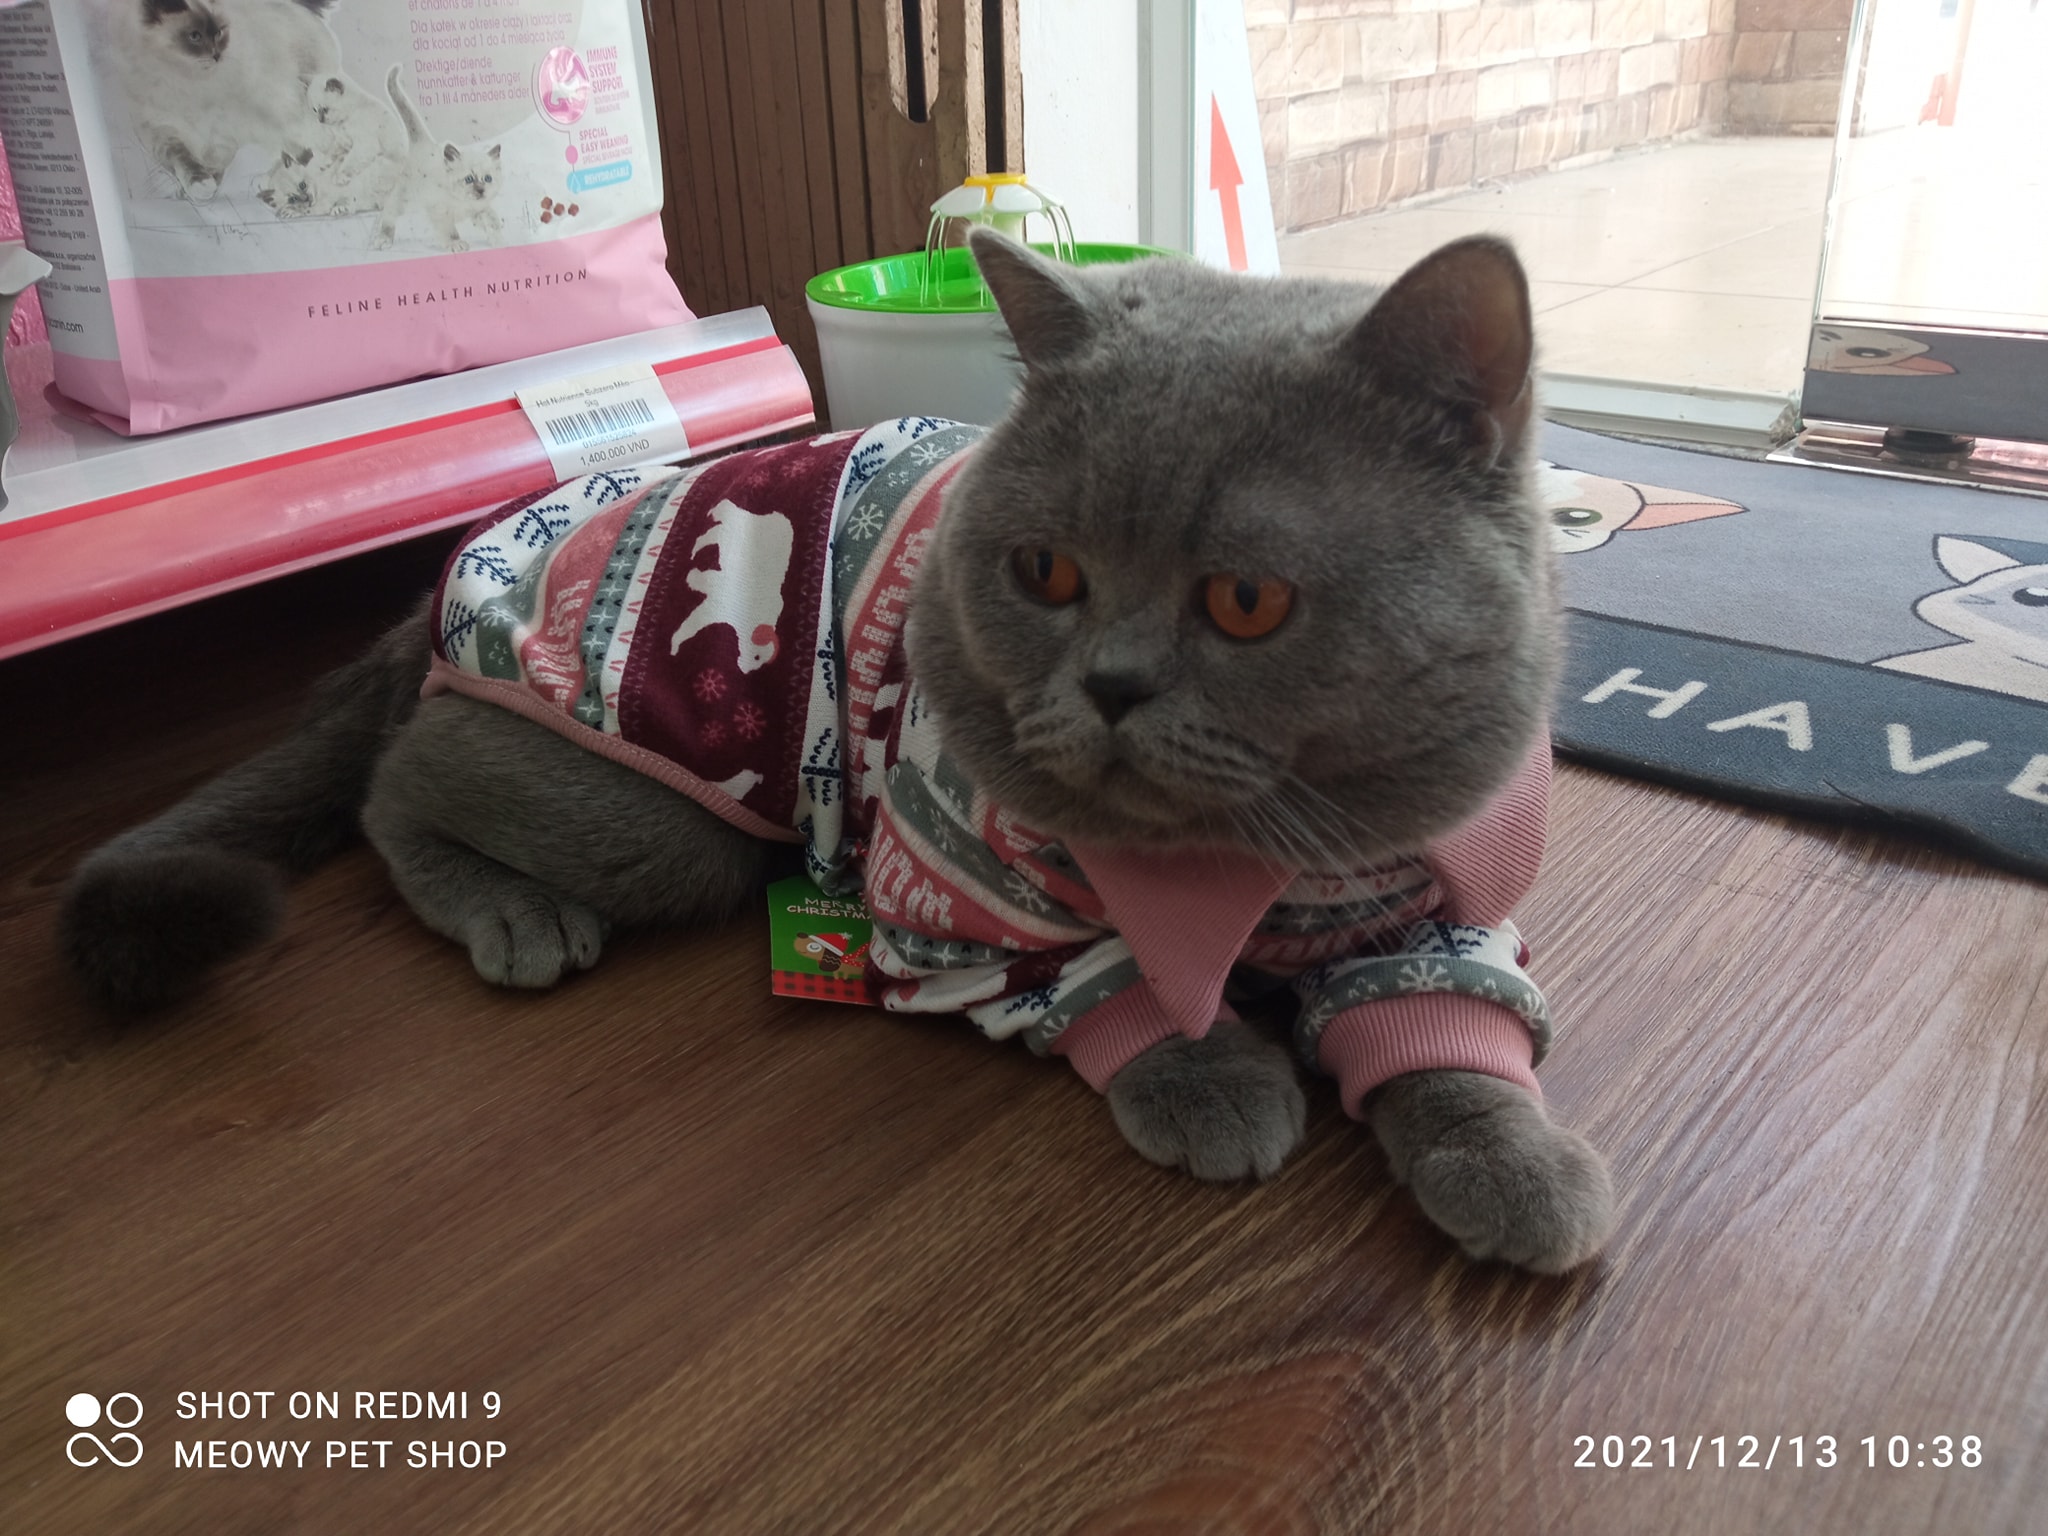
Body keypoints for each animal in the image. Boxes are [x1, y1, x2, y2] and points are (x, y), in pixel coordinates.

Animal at [59, 232, 1615, 1274]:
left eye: (1246, 601)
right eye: (1045, 571)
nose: (1108, 686)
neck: (1253, 870)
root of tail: (465, 559)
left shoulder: (1437, 895)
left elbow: (1452, 1028)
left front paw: (1519, 1169)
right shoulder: (951, 893)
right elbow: (1097, 980)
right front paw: (1211, 1077)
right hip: (658, 816)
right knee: (402, 783)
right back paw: (514, 912)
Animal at [94, 0, 341, 202]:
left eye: (220, 33)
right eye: (195, 36)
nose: (216, 55)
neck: (187, 82)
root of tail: (296, 7)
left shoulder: (224, 130)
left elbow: (216, 161)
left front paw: (205, 187)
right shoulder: (163, 130)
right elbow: (184, 159)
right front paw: (197, 188)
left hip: (288, 110)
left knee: (310, 145)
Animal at [373, 66, 503, 253]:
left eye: (488, 178)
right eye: (469, 179)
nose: (480, 191)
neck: (462, 202)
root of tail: (424, 143)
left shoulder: (479, 209)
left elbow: (491, 218)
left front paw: (498, 238)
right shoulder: (440, 211)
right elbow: (449, 231)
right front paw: (456, 244)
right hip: (405, 198)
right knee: (388, 211)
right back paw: (384, 239)